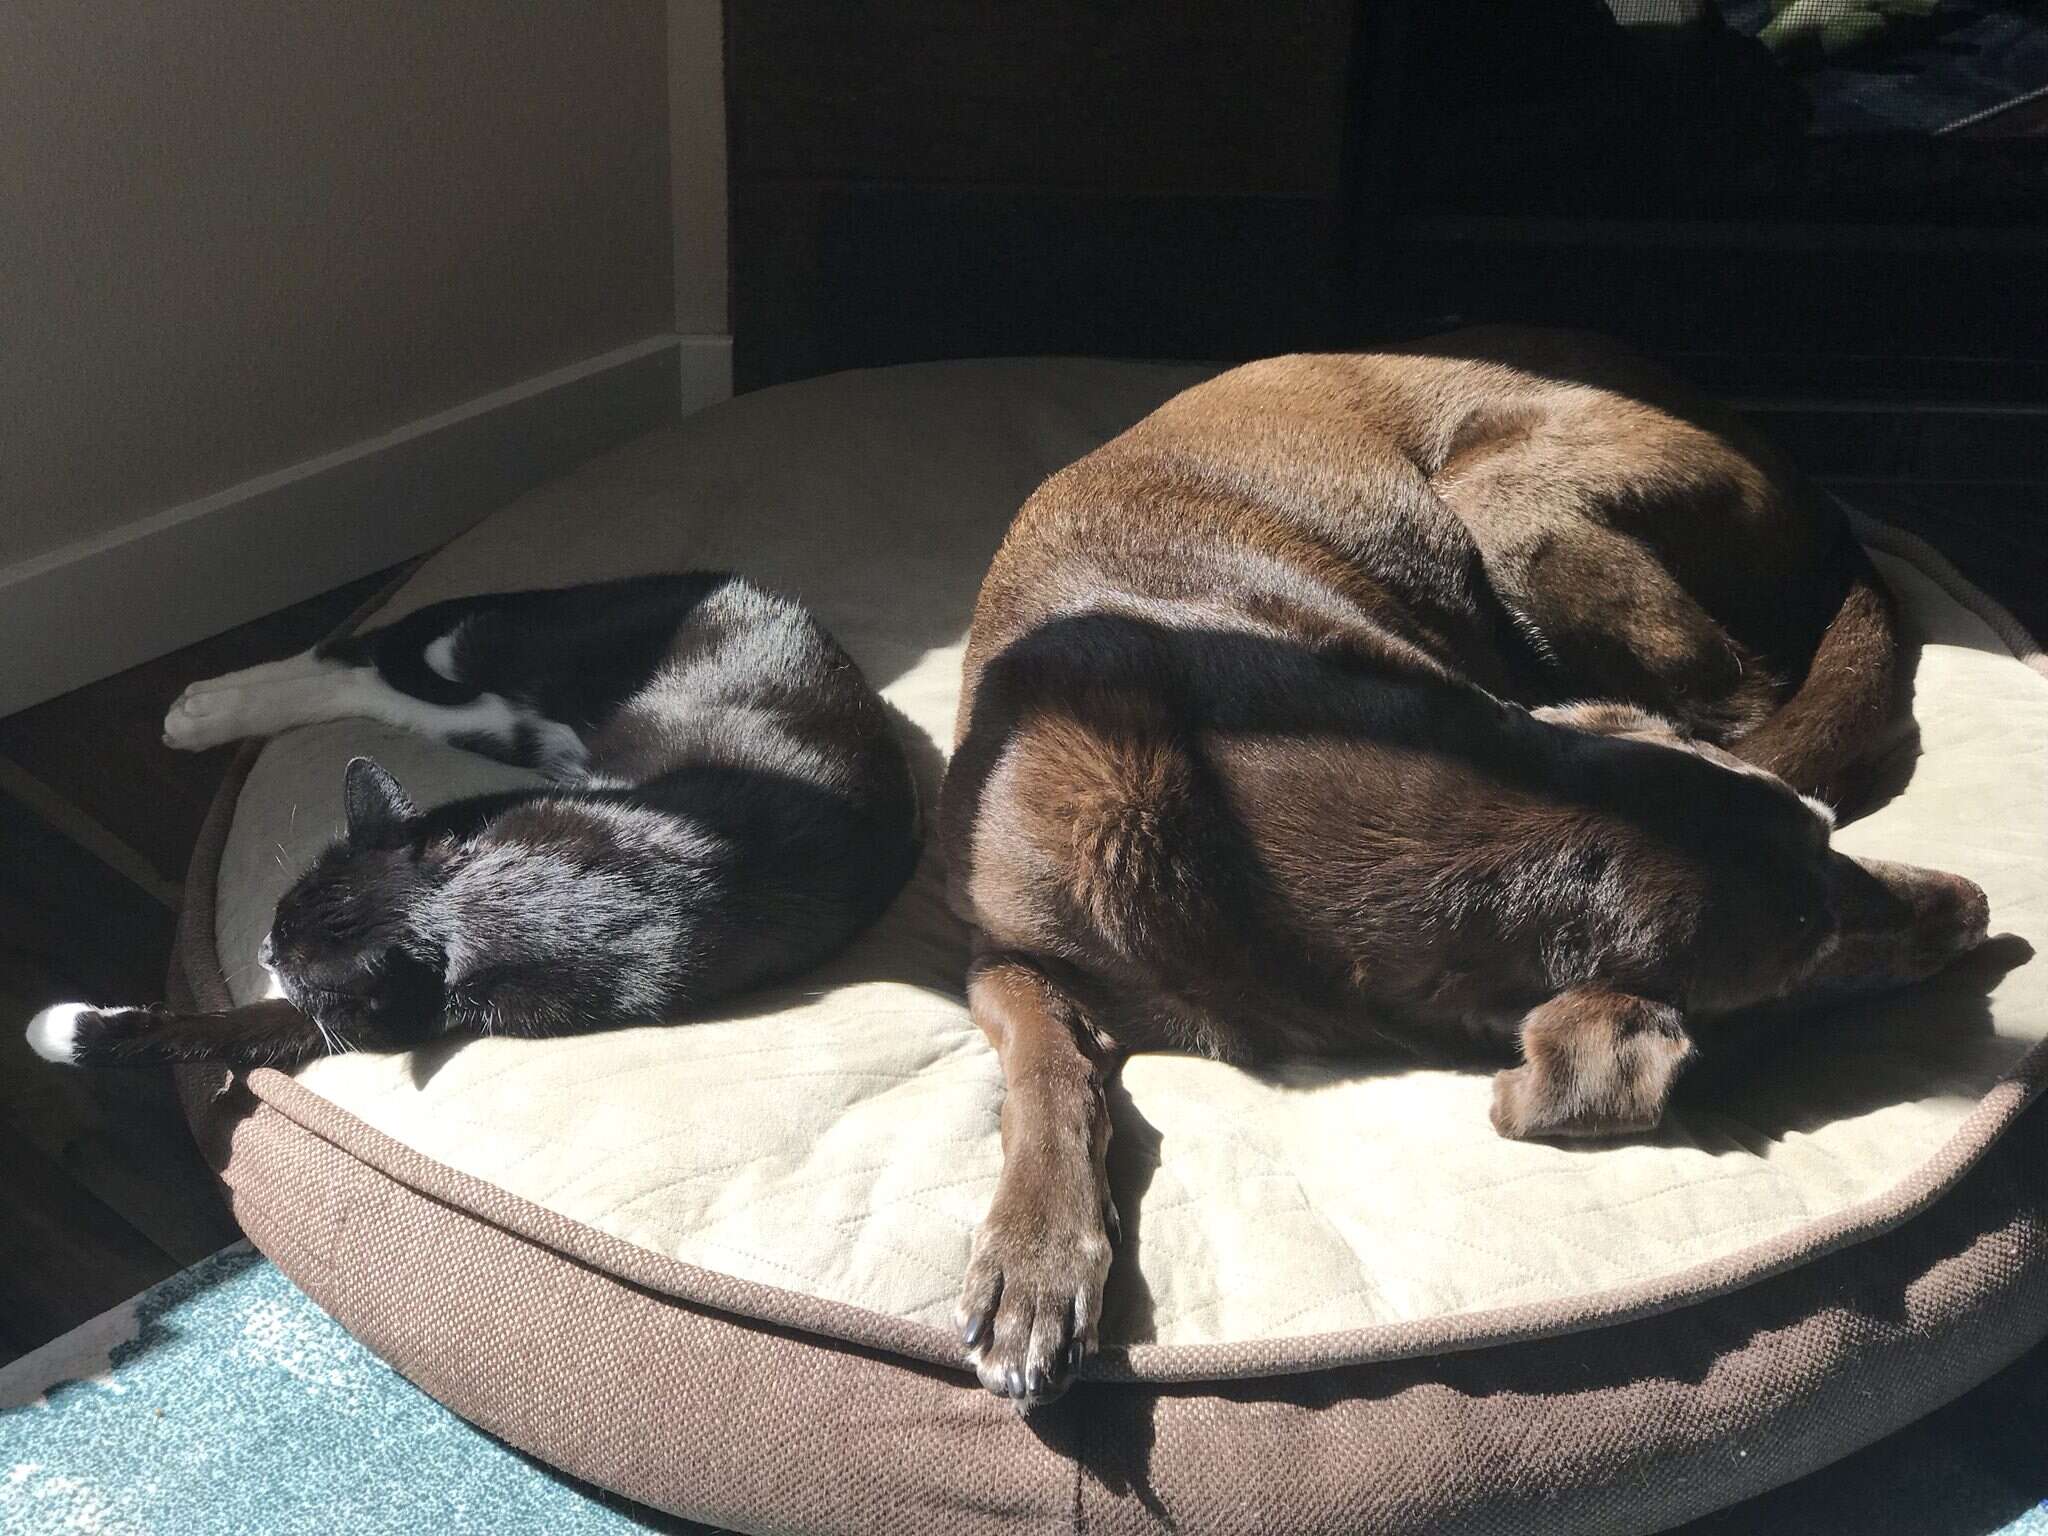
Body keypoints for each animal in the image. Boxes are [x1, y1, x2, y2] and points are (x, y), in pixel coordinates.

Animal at [24, 573, 917, 1073]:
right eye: (277, 916)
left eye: (292, 951)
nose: (263, 953)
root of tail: (748, 588)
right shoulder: (476, 816)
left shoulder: (402, 1006)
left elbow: (261, 1030)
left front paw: (64, 1030)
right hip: (518, 650)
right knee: (370, 653)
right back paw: (206, 708)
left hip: (496, 722)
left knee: (376, 688)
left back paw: (215, 708)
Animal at [937, 325, 1982, 1409]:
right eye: (1805, 962)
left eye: (1829, 836)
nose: (1978, 904)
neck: (1236, 823)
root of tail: (1823, 506)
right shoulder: (999, 950)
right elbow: (1046, 1066)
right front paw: (1036, 1254)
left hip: (1518, 513)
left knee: (1746, 692)